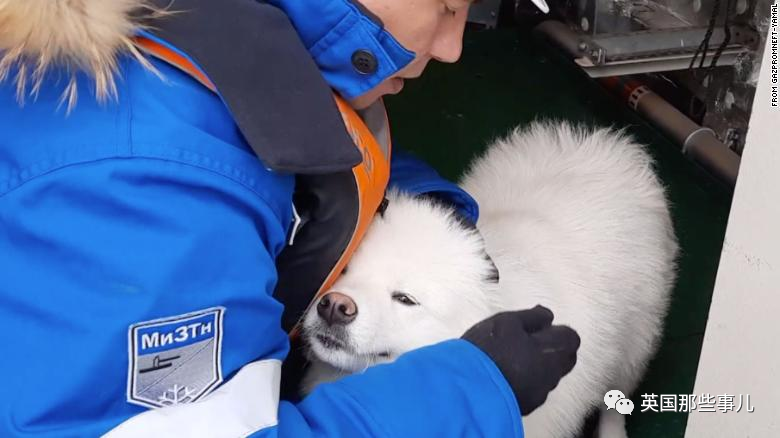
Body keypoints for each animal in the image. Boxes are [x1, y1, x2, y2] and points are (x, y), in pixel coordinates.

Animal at [298, 120, 676, 438]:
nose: (334, 306)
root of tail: (611, 145)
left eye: (405, 299)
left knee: (617, 399)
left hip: (634, 343)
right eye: (344, 270)